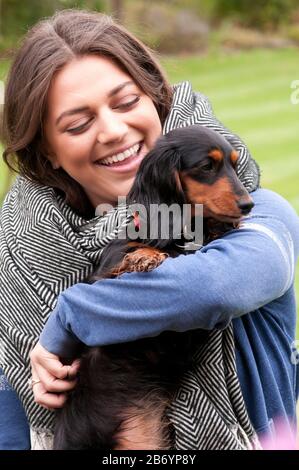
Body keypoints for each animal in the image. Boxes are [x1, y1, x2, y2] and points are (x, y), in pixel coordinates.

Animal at [52, 126, 254, 452]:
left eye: (234, 166)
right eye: (207, 166)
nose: (248, 205)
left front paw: (219, 227)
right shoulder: (105, 271)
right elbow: (131, 252)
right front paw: (145, 256)